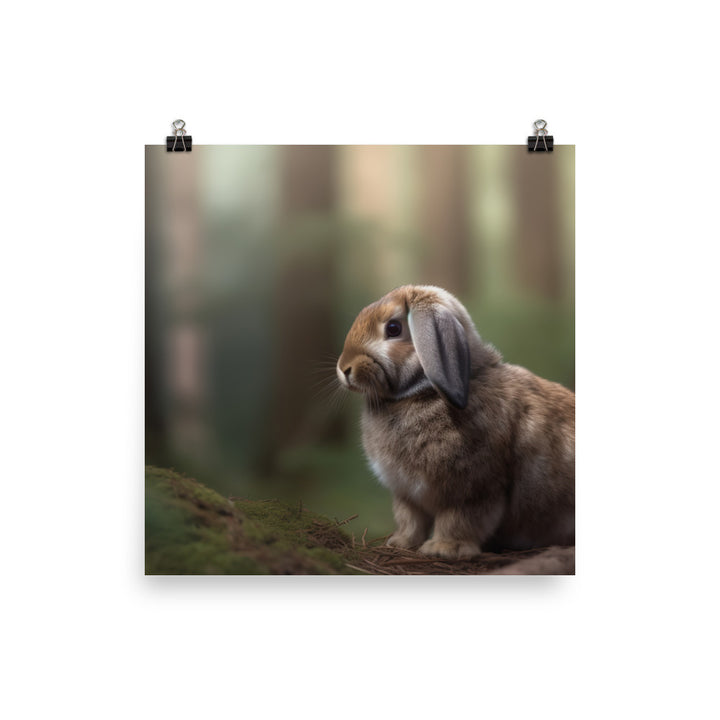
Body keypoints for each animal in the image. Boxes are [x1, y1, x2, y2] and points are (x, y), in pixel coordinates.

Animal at [336, 285, 574, 560]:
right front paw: (400, 543)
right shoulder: (406, 495)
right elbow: (410, 520)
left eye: (393, 328)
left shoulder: (473, 491)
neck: (422, 391)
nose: (344, 368)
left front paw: (444, 549)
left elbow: (459, 520)